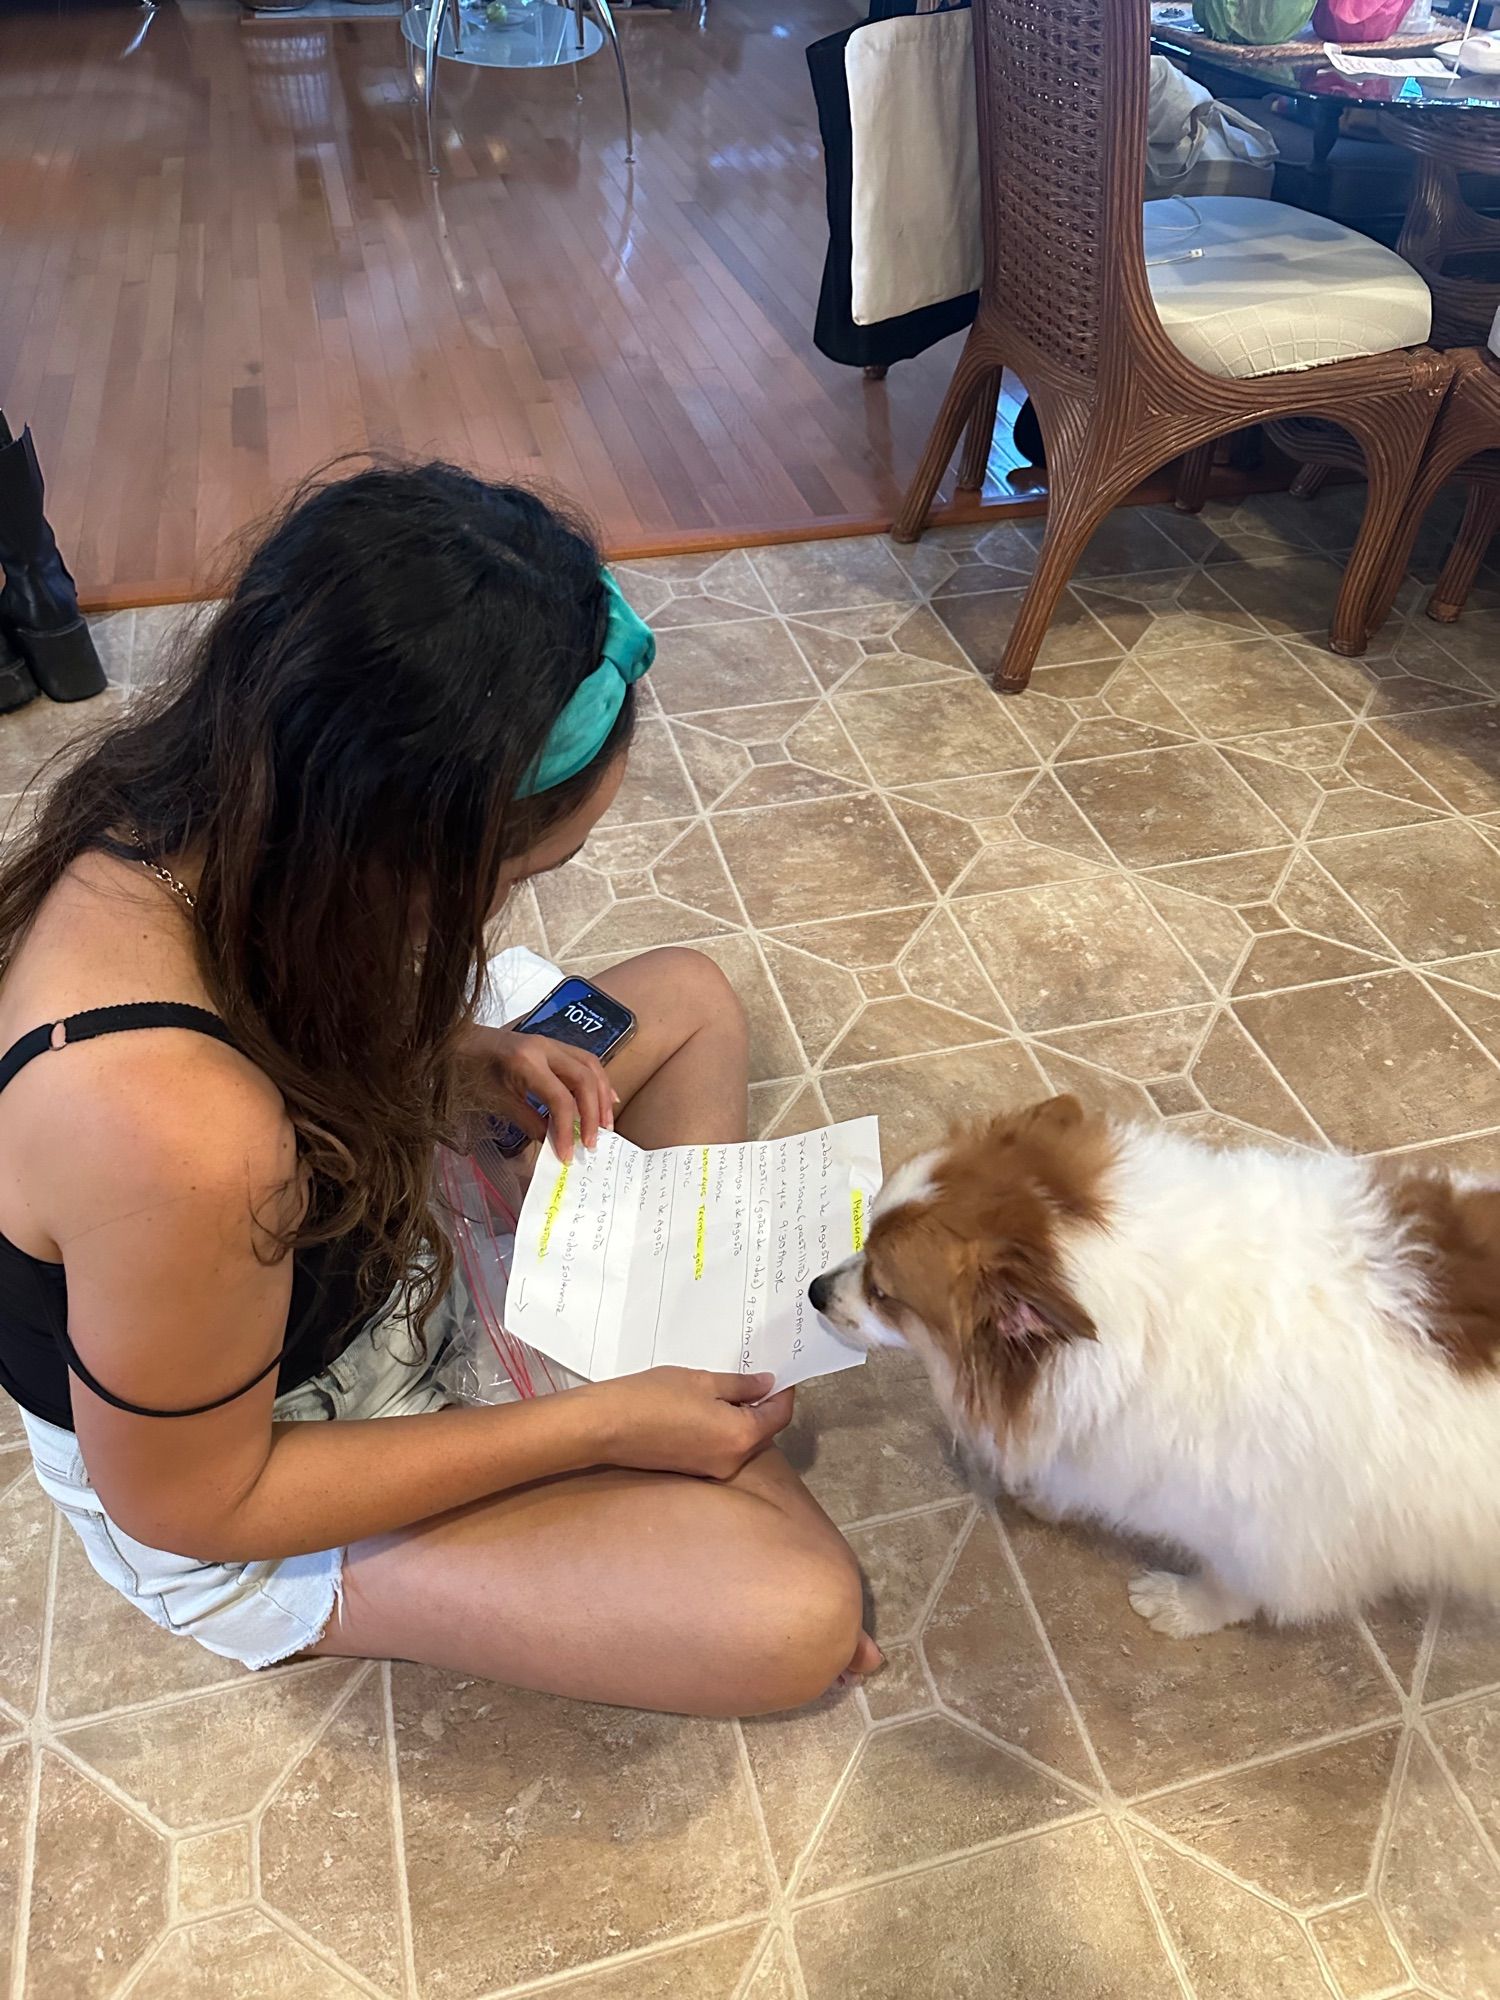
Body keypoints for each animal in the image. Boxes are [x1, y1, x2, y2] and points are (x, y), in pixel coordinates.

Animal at [812, 1096, 1500, 1640]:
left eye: (882, 1292)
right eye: (862, 1242)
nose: (815, 1290)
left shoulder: (1278, 1531)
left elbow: (1232, 1583)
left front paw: (1183, 1606)